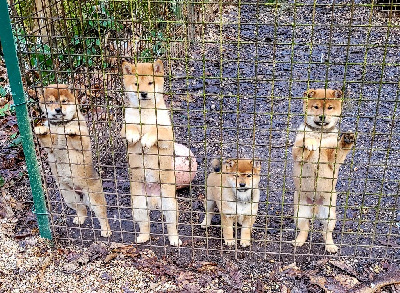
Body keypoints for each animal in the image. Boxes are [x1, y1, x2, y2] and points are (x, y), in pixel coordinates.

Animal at [32, 83, 110, 236]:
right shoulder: (51, 145)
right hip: (69, 197)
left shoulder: (83, 143)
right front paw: (40, 130)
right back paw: (80, 219)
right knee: (82, 209)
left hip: (94, 198)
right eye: (51, 102)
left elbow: (78, 136)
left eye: (64, 101)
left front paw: (72, 131)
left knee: (102, 215)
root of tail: (80, 192)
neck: (61, 126)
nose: (57, 109)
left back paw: (106, 231)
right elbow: (47, 138)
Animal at [120, 58, 180, 244]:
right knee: (145, 224)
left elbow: (156, 130)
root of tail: (153, 198)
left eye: (150, 83)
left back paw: (174, 240)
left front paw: (147, 138)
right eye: (136, 84)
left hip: (170, 205)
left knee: (171, 226)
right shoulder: (123, 129)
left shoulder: (168, 134)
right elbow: (130, 128)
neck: (145, 114)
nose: (144, 93)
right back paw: (142, 238)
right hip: (138, 205)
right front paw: (135, 135)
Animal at [292, 88, 354, 252]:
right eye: (316, 107)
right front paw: (310, 143)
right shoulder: (297, 153)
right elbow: (304, 142)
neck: (320, 134)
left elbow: (339, 150)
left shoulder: (333, 159)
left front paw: (346, 140)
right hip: (300, 212)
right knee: (305, 229)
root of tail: (314, 206)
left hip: (330, 214)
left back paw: (331, 246)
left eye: (330, 107)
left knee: (326, 233)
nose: (322, 116)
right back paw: (298, 242)